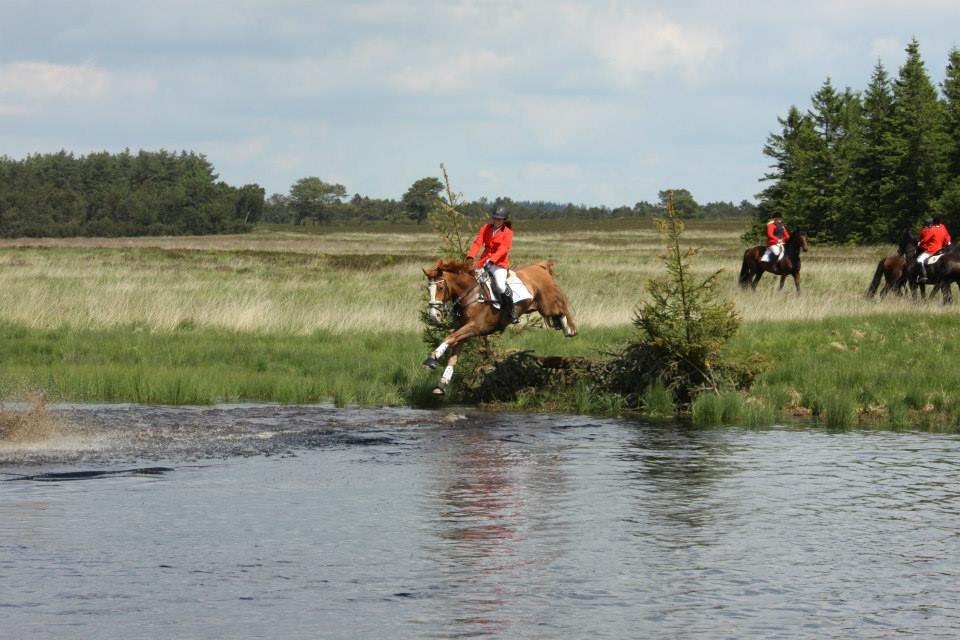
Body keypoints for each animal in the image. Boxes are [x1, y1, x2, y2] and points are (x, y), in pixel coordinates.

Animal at [422, 260, 572, 396]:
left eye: (440, 288)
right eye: (428, 289)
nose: (434, 315)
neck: (471, 296)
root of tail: (540, 266)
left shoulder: (474, 327)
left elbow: (449, 337)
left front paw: (431, 359)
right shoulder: (464, 330)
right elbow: (453, 354)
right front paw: (442, 384)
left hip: (547, 304)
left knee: (561, 308)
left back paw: (569, 329)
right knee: (557, 312)